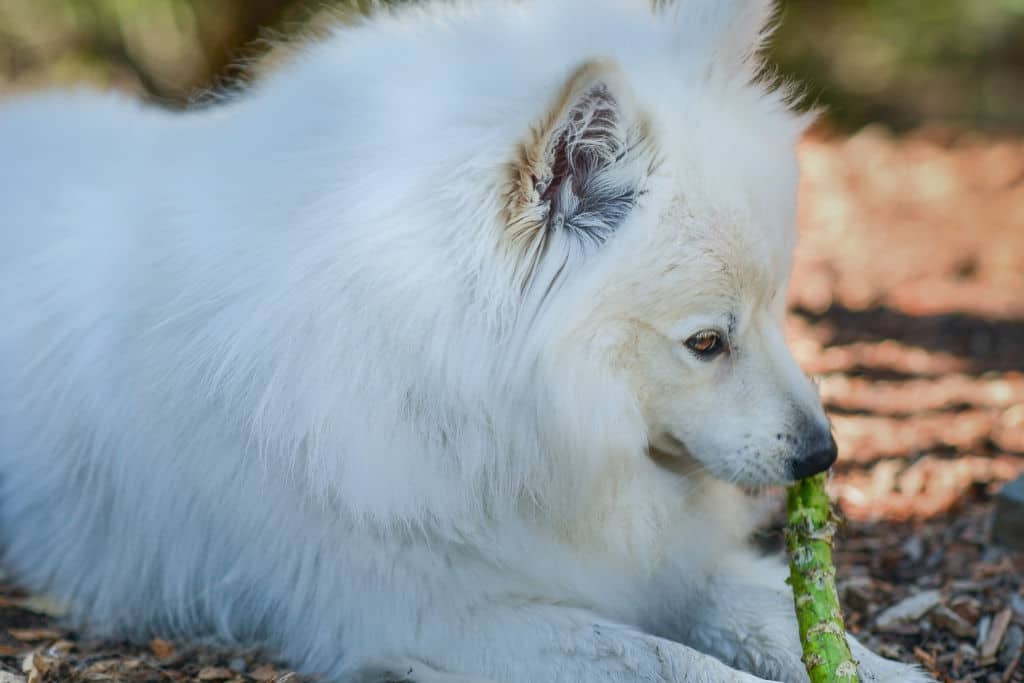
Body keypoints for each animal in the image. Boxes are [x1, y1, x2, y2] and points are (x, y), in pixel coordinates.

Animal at [0, 1, 929, 683]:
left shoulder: (647, 561)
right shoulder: (440, 613)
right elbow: (669, 662)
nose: (823, 453)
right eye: (705, 341)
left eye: (776, 308)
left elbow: (761, 612)